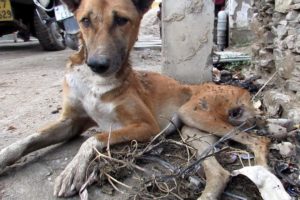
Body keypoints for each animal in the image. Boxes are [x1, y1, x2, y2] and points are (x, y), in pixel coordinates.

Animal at [0, 0, 268, 198]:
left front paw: (72, 170)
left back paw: (264, 176)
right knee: (219, 174)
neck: (95, 82)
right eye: (85, 21)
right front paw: (4, 157)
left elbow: (93, 139)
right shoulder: (71, 122)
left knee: (259, 141)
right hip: (192, 129)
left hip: (195, 114)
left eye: (121, 20)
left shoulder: (147, 126)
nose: (97, 64)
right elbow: (28, 139)